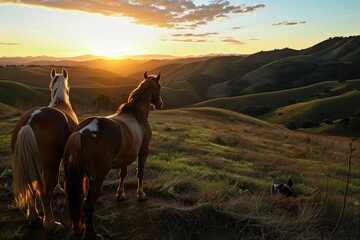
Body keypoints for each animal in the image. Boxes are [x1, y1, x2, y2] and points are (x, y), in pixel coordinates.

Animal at [11, 68, 79, 233]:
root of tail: (29, 122)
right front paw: (58, 189)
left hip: (28, 164)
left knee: (31, 191)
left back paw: (33, 217)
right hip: (49, 167)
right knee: (45, 195)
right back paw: (50, 224)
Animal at [63, 71, 162, 240]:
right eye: (160, 87)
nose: (160, 104)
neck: (136, 114)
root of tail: (81, 133)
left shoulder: (126, 157)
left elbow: (123, 174)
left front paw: (120, 194)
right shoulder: (143, 151)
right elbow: (140, 173)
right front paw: (141, 194)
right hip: (96, 180)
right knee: (88, 206)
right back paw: (92, 234)